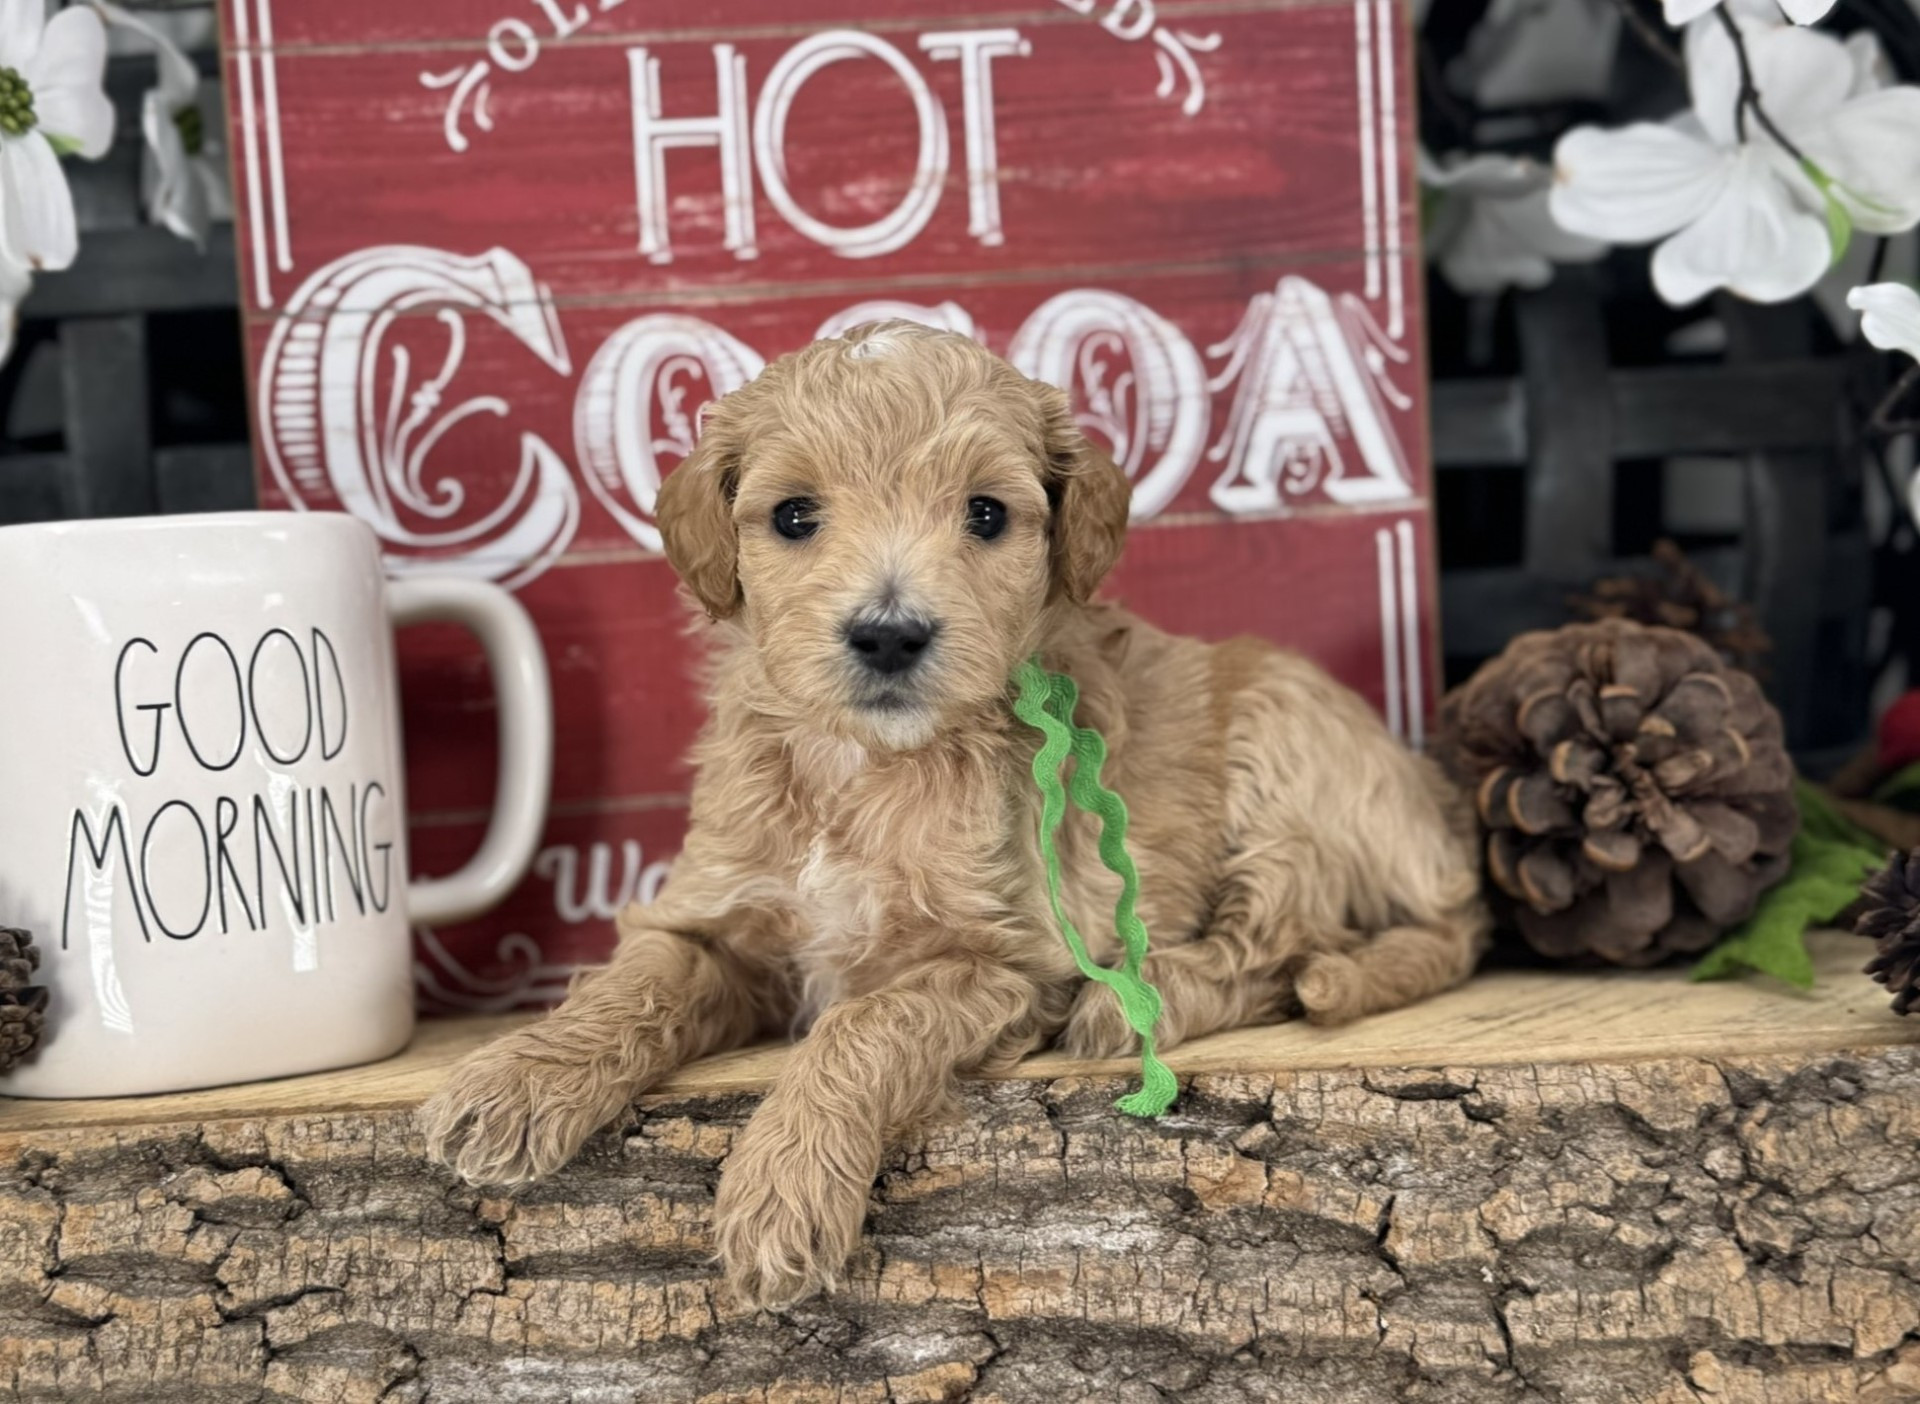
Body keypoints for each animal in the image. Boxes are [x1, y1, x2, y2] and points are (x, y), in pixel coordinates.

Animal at [419, 320, 1490, 1308]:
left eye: (985, 512)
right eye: (795, 515)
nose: (890, 634)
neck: (863, 764)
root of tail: (1439, 838)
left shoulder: (1004, 961)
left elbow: (862, 1024)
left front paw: (782, 1188)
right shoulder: (718, 913)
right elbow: (634, 982)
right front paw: (518, 1079)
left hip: (1281, 743)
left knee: (1283, 935)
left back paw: (1140, 1000)